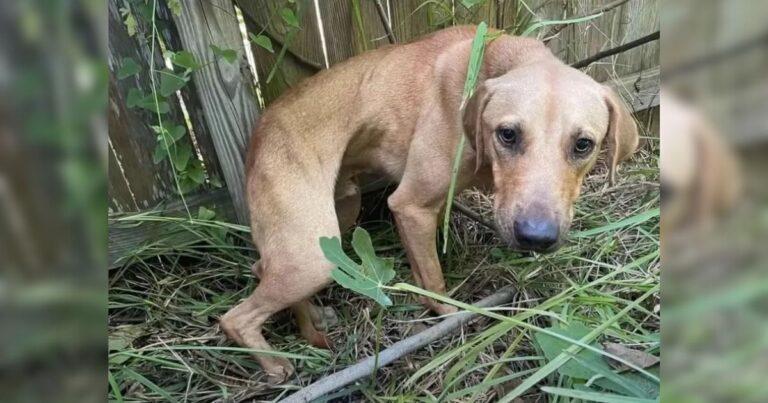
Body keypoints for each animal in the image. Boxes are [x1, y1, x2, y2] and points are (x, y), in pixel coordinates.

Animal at [219, 26, 640, 382]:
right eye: (507, 134)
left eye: (583, 144)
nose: (536, 238)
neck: (492, 61)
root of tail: (262, 126)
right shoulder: (411, 205)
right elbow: (437, 284)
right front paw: (450, 320)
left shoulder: (421, 214)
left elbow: (423, 272)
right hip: (312, 257)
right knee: (236, 317)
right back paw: (275, 365)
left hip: (336, 219)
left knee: (261, 267)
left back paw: (312, 322)